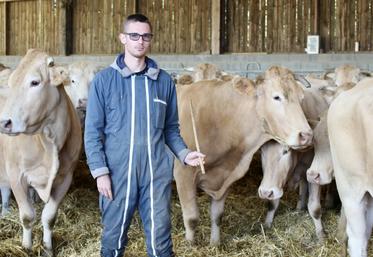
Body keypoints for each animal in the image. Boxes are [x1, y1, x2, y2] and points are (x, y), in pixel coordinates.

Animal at [0, 48, 81, 254]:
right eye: (11, 83)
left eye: (34, 82)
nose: (4, 123)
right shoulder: (15, 175)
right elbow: (27, 216)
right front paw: (27, 247)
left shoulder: (65, 178)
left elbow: (49, 217)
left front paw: (47, 248)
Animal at [174, 65, 310, 244]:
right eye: (277, 97)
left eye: (302, 98)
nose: (307, 135)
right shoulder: (184, 174)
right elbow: (191, 218)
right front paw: (190, 245)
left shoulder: (226, 176)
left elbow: (217, 215)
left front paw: (215, 244)